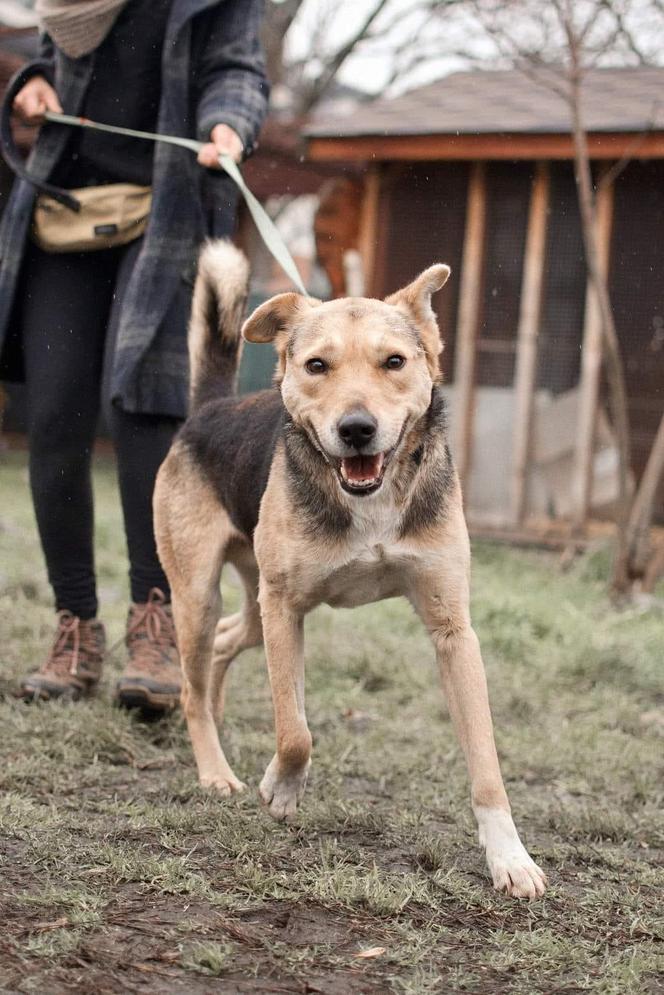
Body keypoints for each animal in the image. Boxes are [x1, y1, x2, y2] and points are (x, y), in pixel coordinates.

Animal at [153, 243, 548, 904]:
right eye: (317, 365)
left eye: (394, 362)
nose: (357, 429)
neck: (372, 501)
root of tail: (210, 407)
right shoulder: (287, 608)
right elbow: (295, 731)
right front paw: (280, 787)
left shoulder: (453, 630)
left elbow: (488, 767)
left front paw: (510, 859)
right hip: (200, 596)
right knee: (190, 683)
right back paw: (215, 770)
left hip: (253, 606)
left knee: (225, 646)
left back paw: (219, 711)